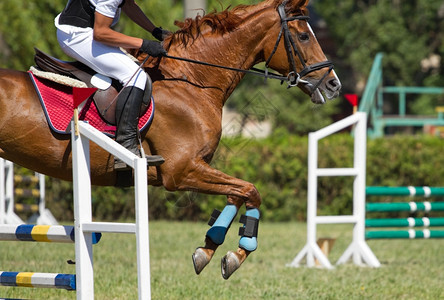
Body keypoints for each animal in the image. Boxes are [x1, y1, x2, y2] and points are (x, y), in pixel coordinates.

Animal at [0, 0, 340, 278]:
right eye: (304, 36)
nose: (333, 84)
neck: (193, 81)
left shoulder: (197, 167)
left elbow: (238, 193)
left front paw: (209, 248)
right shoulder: (181, 171)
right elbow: (250, 191)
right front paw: (237, 252)